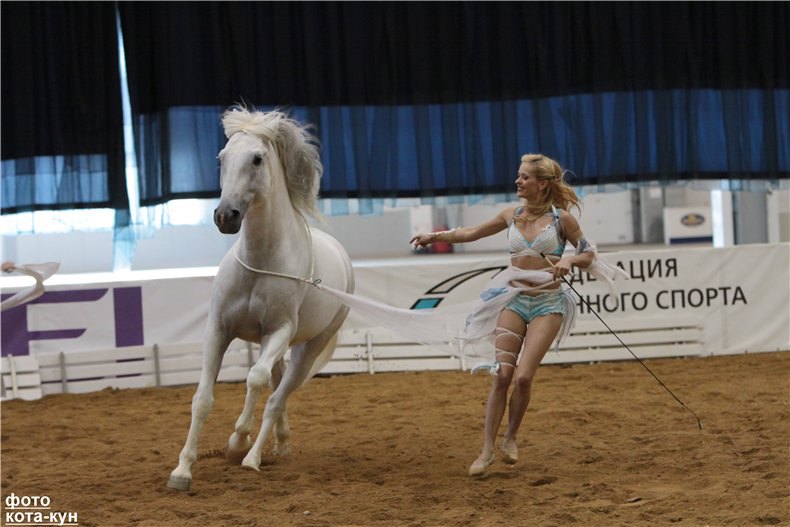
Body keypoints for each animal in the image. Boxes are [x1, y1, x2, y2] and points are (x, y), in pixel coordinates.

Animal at [169, 107, 356, 490]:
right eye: (222, 158)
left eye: (257, 159)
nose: (225, 216)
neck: (260, 262)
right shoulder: (218, 330)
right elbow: (202, 399)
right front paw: (181, 471)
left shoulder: (279, 331)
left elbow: (254, 380)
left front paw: (237, 443)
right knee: (276, 383)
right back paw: (280, 445)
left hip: (307, 347)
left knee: (277, 395)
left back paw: (253, 457)